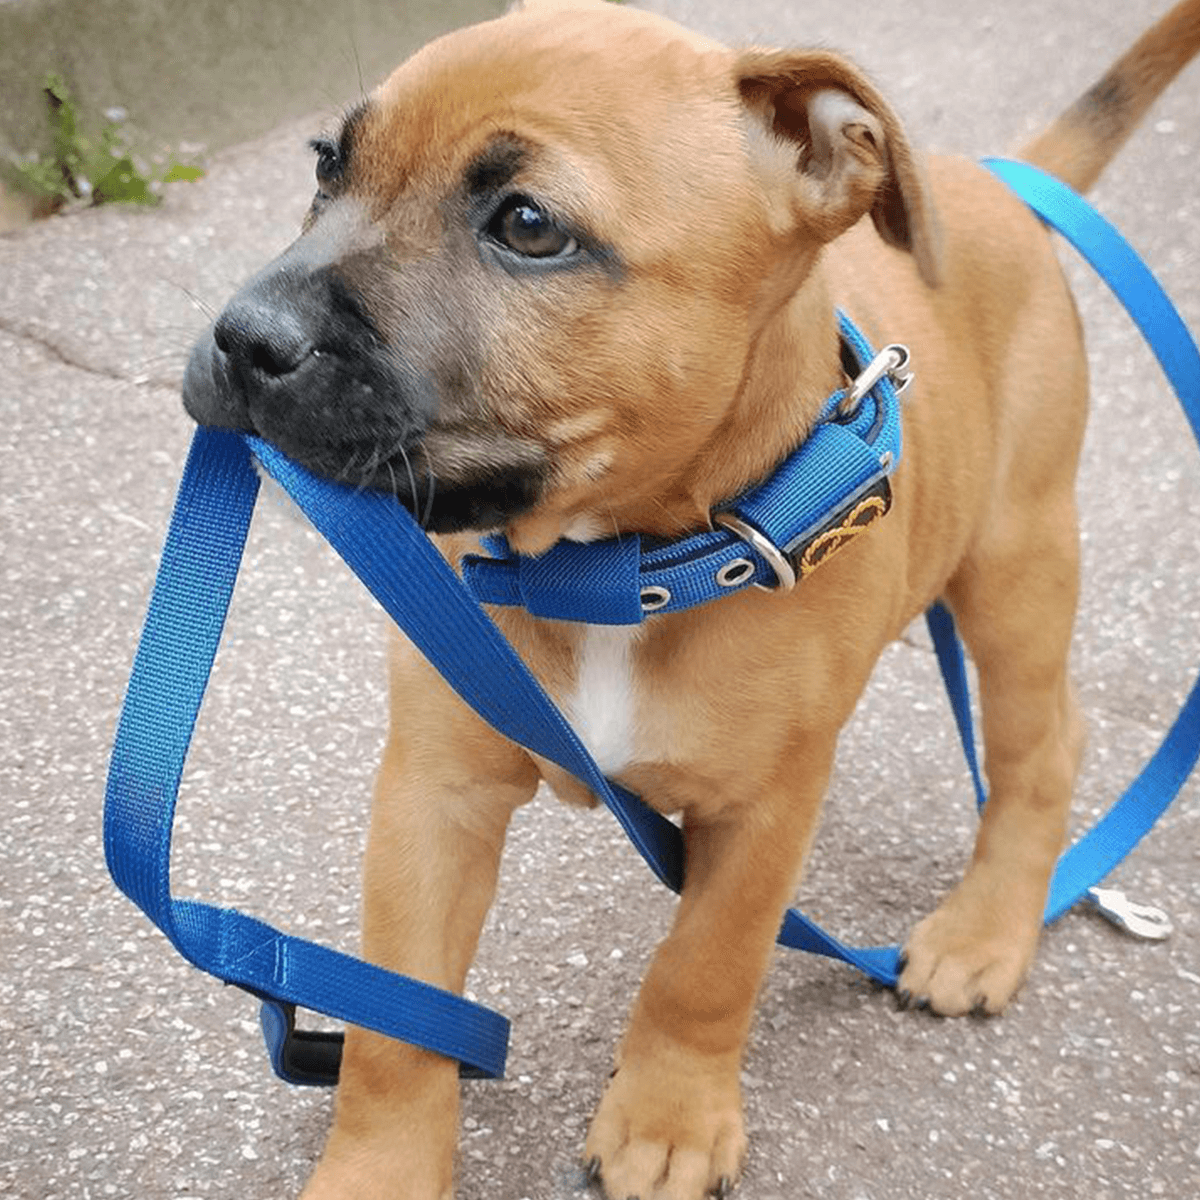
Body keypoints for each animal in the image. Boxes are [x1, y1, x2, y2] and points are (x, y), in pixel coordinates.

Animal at [177, 2, 1200, 1200]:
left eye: (529, 225)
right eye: (327, 166)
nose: (242, 336)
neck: (613, 563)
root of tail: (999, 183)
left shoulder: (762, 815)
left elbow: (704, 966)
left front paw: (668, 1119)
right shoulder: (434, 791)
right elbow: (396, 1017)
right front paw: (377, 1171)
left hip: (1018, 561)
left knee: (1045, 747)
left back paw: (984, 932)